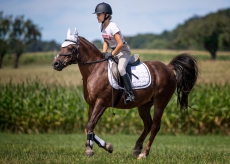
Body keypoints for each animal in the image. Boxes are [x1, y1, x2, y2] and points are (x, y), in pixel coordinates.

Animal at [51, 28, 198, 159]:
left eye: (71, 48)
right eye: (61, 47)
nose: (56, 64)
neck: (95, 69)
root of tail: (167, 67)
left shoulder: (101, 103)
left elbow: (90, 125)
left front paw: (90, 150)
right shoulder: (92, 105)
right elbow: (89, 127)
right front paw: (104, 147)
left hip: (160, 102)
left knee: (155, 126)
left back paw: (144, 154)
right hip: (144, 105)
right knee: (148, 125)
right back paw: (137, 149)